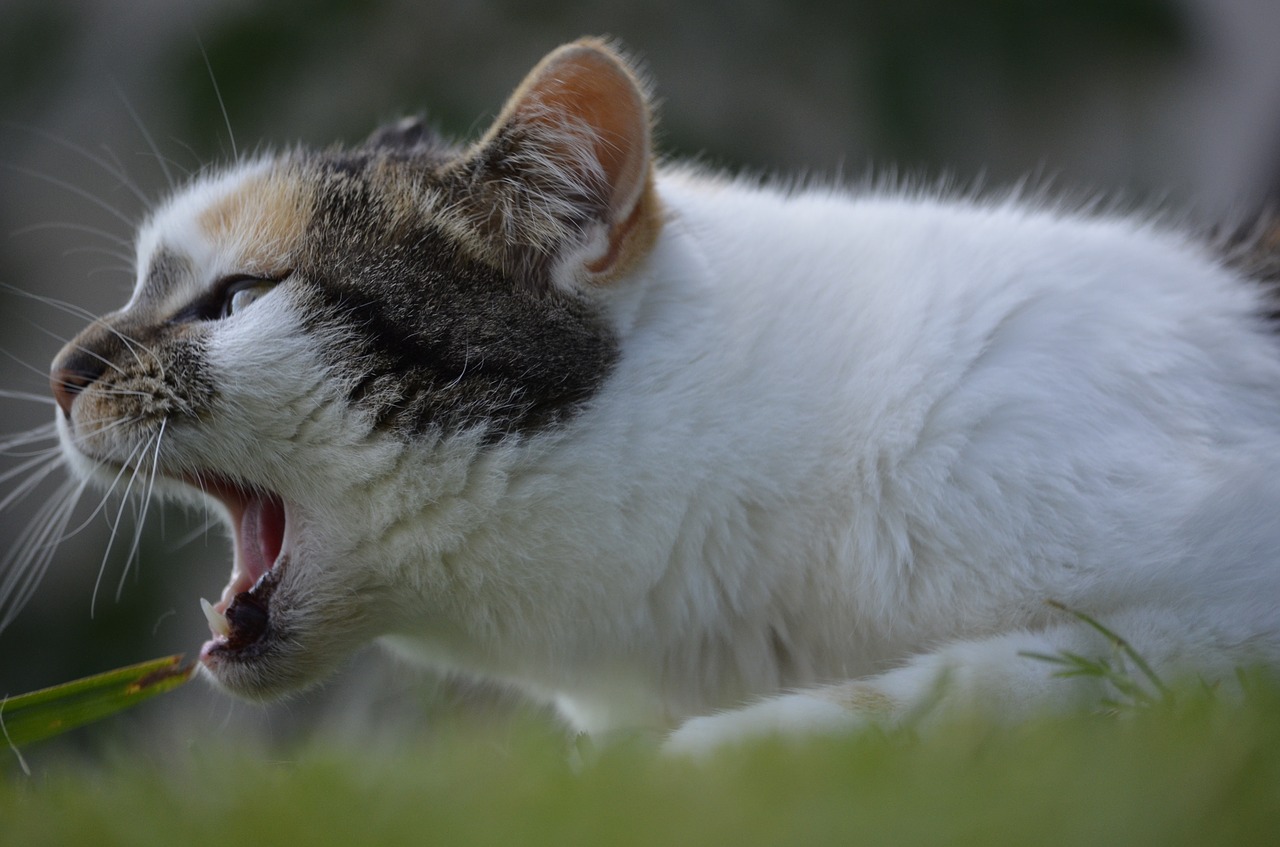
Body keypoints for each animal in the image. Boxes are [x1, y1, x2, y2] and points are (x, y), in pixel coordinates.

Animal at [17, 38, 1280, 757]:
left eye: (234, 298)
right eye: (143, 283)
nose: (61, 370)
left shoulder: (1218, 605)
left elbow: (970, 682)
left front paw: (700, 757)